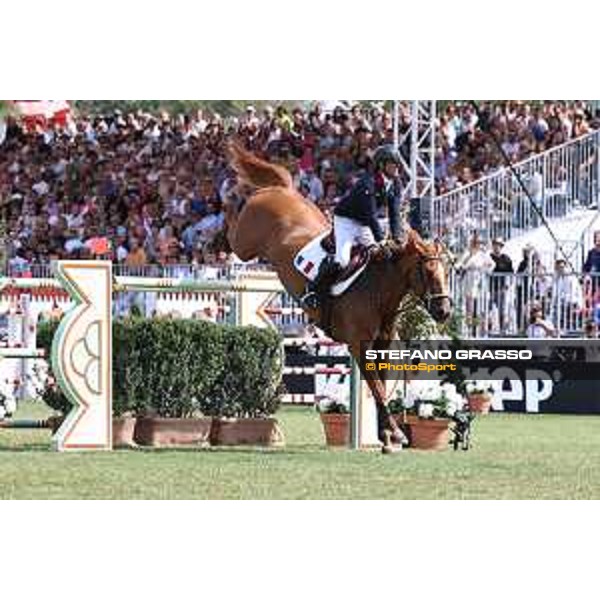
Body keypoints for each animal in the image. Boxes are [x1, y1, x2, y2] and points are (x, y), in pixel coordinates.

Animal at [225, 142, 450, 450]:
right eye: (427, 272)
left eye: (446, 271)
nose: (444, 311)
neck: (378, 291)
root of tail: (282, 190)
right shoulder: (359, 345)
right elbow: (378, 389)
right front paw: (396, 434)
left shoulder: (382, 346)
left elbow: (379, 387)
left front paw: (386, 436)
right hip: (246, 243)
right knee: (232, 231)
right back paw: (229, 197)